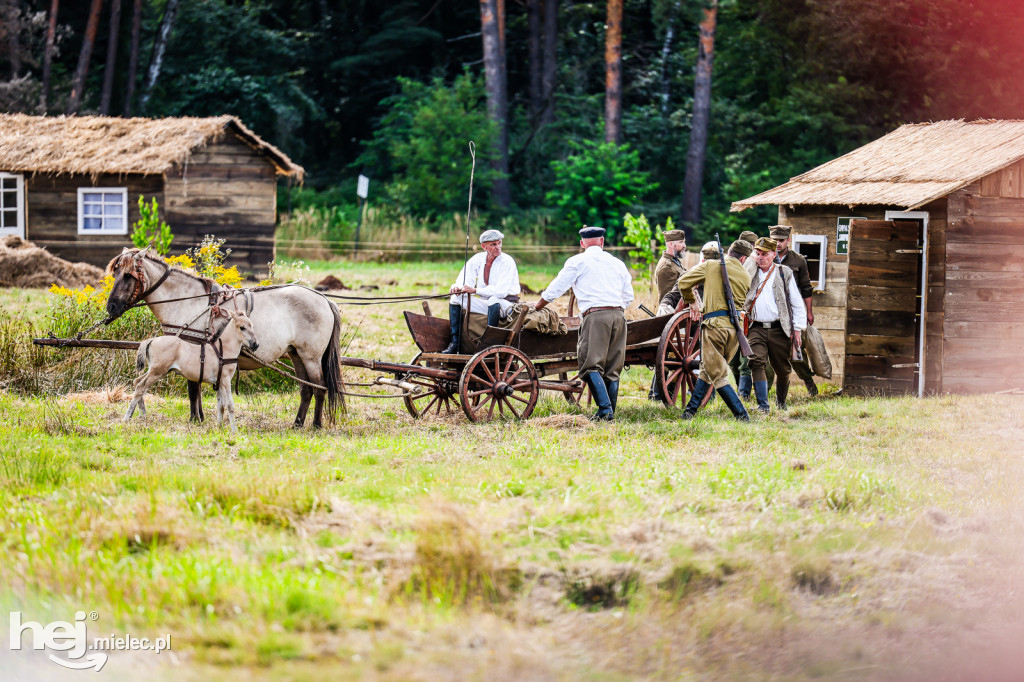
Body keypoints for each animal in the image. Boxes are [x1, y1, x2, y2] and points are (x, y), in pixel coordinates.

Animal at [125, 307, 260, 430]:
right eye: (242, 327)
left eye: (252, 326)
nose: (255, 345)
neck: (222, 349)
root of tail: (153, 339)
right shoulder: (225, 380)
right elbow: (230, 405)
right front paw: (234, 431)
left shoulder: (219, 382)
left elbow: (220, 405)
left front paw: (219, 427)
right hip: (157, 372)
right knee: (140, 387)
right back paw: (127, 418)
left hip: (156, 371)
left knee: (137, 382)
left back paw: (143, 417)